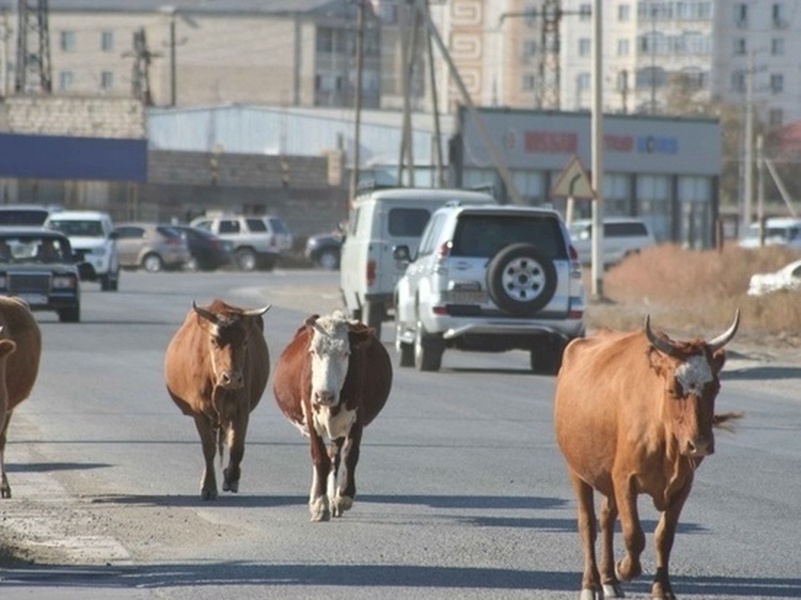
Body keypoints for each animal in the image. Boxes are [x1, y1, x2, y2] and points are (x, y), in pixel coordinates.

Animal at [163, 298, 272, 500]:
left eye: (245, 341)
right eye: (213, 340)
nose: (232, 378)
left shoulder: (242, 408)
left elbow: (236, 447)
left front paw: (231, 478)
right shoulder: (199, 412)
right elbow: (209, 448)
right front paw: (208, 487)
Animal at [272, 310, 390, 520]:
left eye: (346, 353)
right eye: (313, 351)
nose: (324, 395)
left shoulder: (356, 419)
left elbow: (350, 455)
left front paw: (343, 497)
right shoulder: (311, 417)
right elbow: (320, 458)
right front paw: (319, 503)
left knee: (335, 456)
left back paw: (333, 499)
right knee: (321, 457)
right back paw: (316, 499)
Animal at [552, 312, 740, 600]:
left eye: (715, 387)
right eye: (673, 389)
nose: (699, 444)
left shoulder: (683, 485)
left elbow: (664, 537)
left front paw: (662, 589)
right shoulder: (624, 479)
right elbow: (634, 534)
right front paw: (625, 569)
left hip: (607, 479)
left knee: (607, 519)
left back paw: (609, 581)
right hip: (577, 470)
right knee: (588, 524)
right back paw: (591, 584)